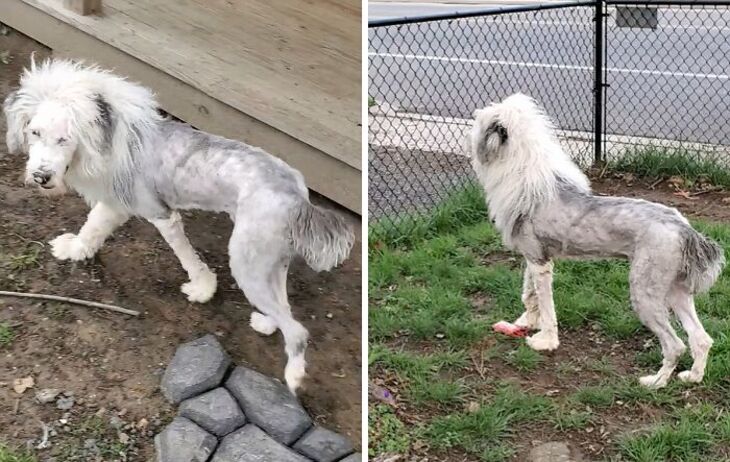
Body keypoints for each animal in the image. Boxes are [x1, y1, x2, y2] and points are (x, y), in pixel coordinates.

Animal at [2, 58, 356, 394]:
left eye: (65, 139)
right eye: (35, 133)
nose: (40, 177)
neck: (113, 137)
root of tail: (298, 198)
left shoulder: (160, 213)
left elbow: (185, 254)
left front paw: (201, 288)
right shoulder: (117, 203)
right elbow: (93, 226)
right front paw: (75, 248)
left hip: (246, 263)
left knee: (297, 331)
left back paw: (294, 377)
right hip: (268, 261)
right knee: (283, 305)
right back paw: (268, 324)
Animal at [466, 94, 724, 390]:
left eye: (478, 122)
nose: (472, 119)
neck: (523, 170)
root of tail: (684, 229)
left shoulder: (541, 264)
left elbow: (546, 306)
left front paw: (546, 342)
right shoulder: (533, 258)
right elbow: (528, 295)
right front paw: (525, 323)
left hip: (645, 293)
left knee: (675, 345)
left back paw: (656, 382)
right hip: (675, 291)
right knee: (701, 338)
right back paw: (693, 376)